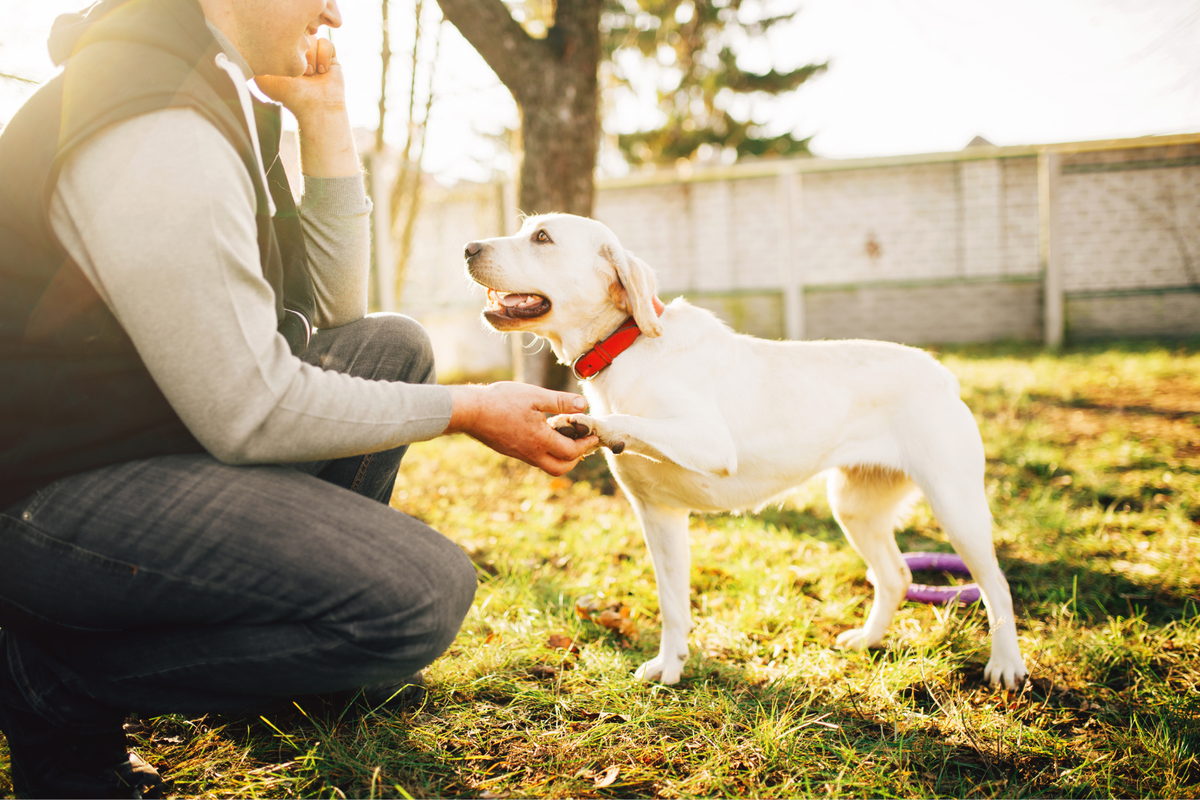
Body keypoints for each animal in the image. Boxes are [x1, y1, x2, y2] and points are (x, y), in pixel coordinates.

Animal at [463, 212, 1027, 690]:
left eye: (542, 237)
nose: (467, 247)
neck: (627, 346)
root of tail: (941, 373)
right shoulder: (659, 516)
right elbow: (672, 603)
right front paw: (670, 667)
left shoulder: (709, 441)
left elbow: (627, 421)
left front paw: (590, 423)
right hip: (854, 508)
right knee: (896, 576)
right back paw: (867, 640)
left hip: (956, 509)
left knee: (996, 586)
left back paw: (1006, 667)